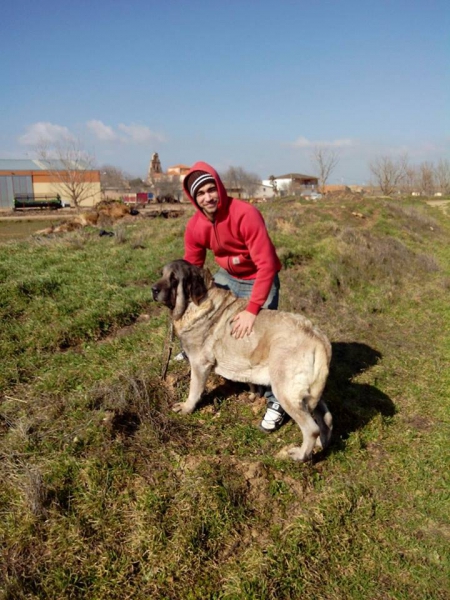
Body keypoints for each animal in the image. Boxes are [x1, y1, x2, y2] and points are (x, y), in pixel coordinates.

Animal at [153, 260, 332, 462]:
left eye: (174, 278)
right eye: (162, 274)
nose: (153, 290)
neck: (195, 303)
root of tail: (317, 337)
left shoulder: (199, 364)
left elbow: (194, 389)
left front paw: (186, 407)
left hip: (285, 390)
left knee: (311, 428)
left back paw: (300, 455)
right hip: (309, 393)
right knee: (326, 418)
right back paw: (321, 444)